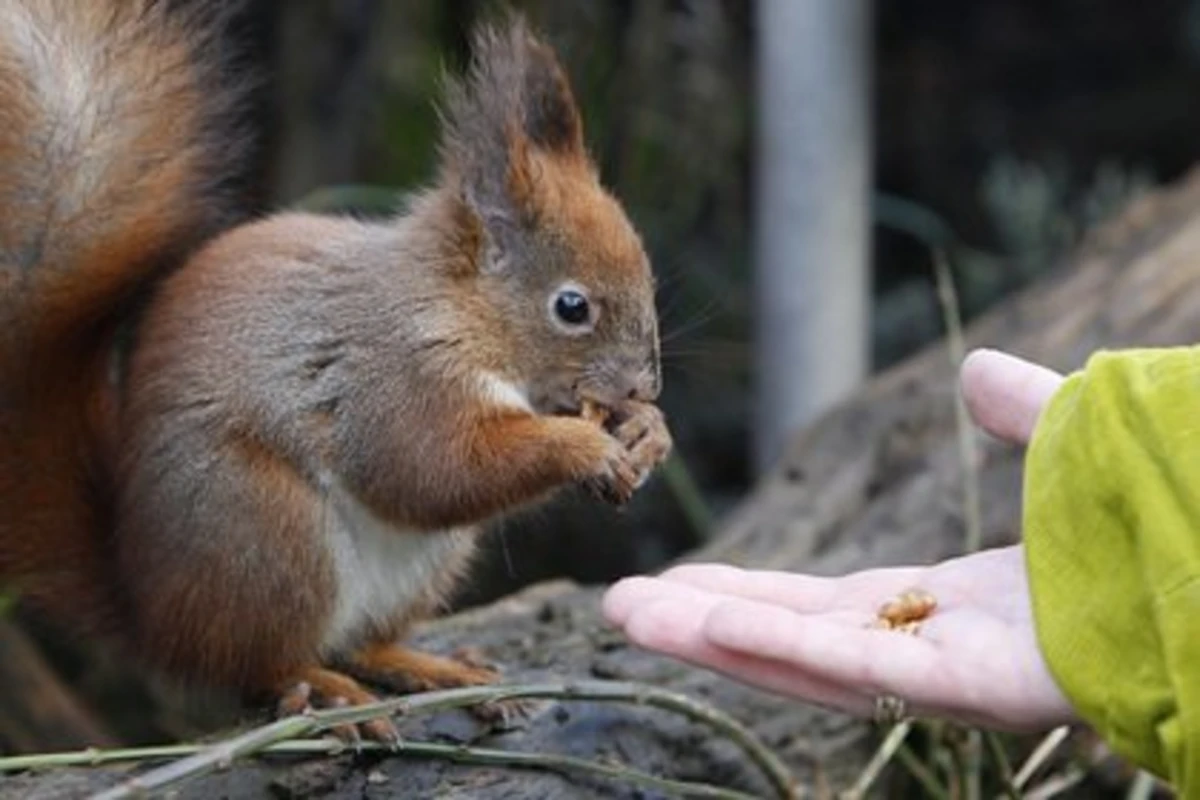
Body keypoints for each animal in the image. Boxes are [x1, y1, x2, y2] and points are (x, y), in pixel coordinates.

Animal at [0, 1, 670, 740]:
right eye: (571, 307)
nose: (644, 386)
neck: (461, 312)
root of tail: (151, 611)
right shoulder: (389, 377)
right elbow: (432, 467)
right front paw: (582, 445)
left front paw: (649, 434)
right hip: (268, 529)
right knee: (260, 663)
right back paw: (326, 692)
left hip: (422, 563)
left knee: (359, 643)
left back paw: (432, 669)